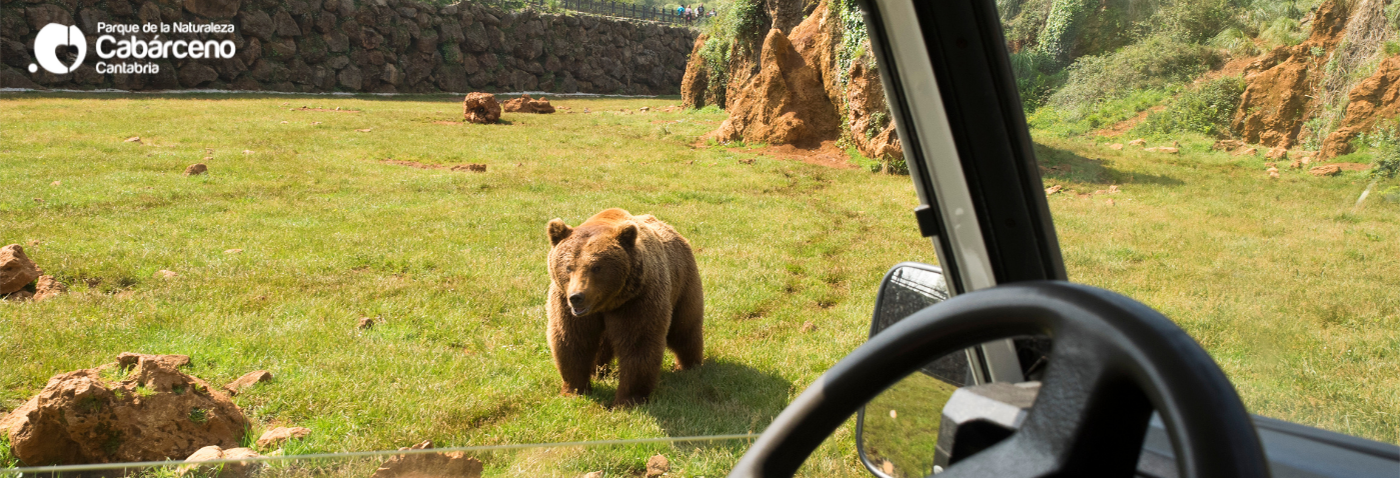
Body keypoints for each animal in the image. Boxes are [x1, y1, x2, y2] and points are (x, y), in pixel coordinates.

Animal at [543, 206, 705, 403]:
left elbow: (638, 344)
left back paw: (689, 365)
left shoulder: (638, 299)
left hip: (683, 283)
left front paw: (627, 399)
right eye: (568, 267)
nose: (577, 297)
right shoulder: (565, 303)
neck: (607, 303)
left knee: (685, 327)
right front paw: (573, 390)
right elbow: (572, 341)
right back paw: (597, 371)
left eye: (596, 267)